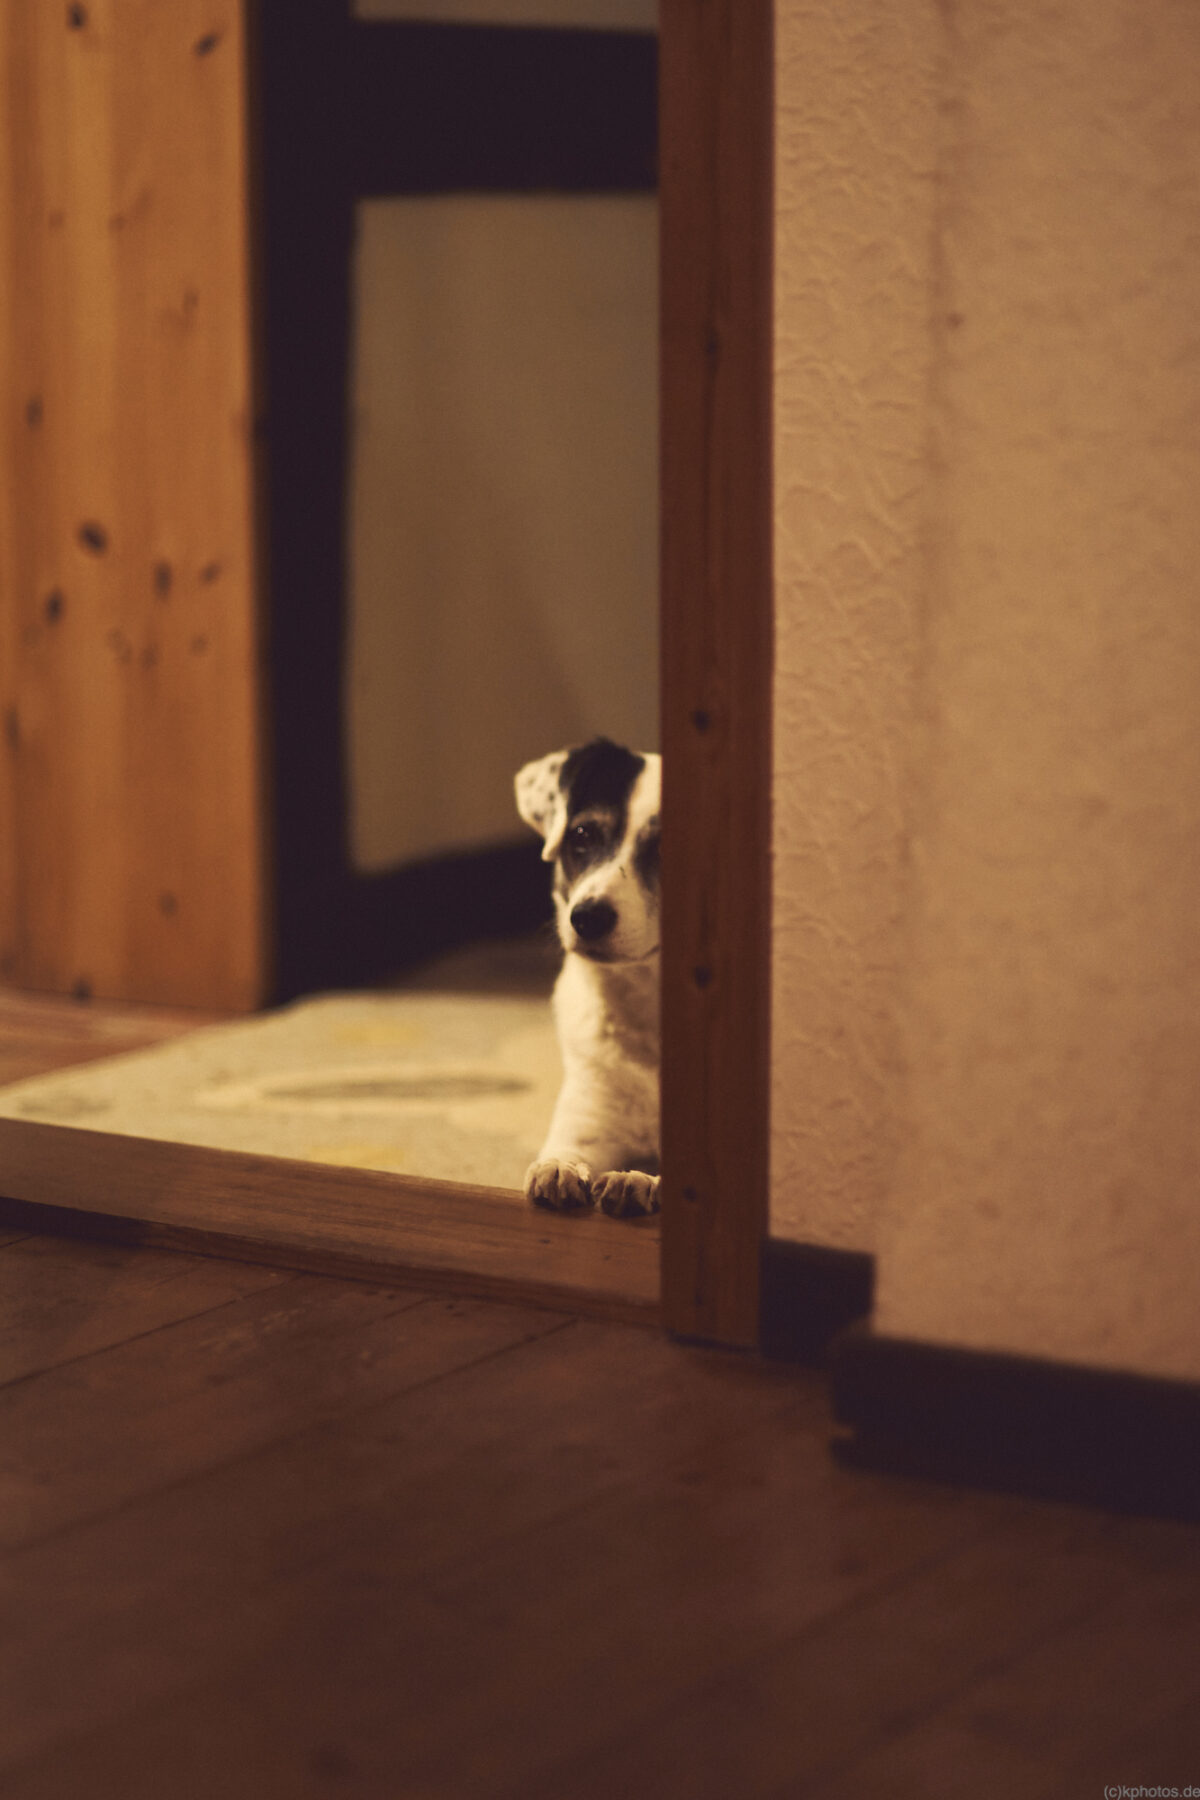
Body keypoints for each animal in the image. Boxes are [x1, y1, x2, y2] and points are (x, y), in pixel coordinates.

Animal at [514, 734, 662, 1224]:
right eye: (582, 835)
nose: (587, 918)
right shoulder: (588, 1124)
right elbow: (563, 1153)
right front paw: (557, 1170)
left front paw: (637, 1179)